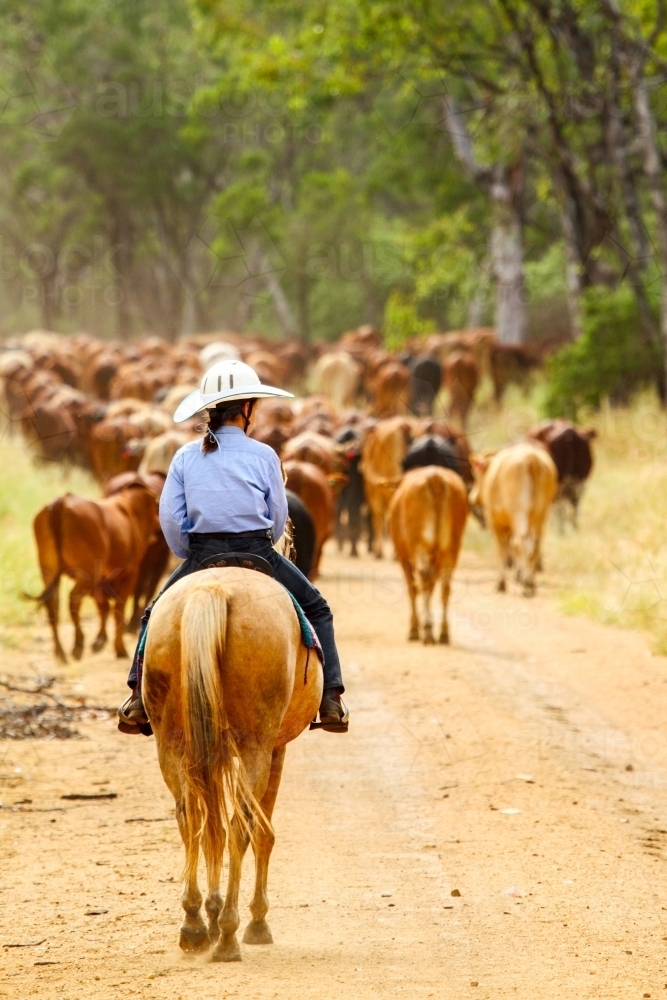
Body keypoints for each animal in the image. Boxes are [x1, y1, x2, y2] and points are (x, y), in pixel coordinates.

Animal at [30, 484, 160, 664]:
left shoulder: (102, 579)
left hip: (49, 572)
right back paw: (78, 645)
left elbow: (103, 606)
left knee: (53, 604)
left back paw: (60, 652)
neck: (132, 510)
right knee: (73, 600)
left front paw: (100, 641)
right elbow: (117, 608)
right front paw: (119, 648)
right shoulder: (129, 572)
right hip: (87, 574)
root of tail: (61, 503)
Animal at [142, 568, 322, 956]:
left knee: (191, 818)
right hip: (255, 746)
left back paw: (195, 925)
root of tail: (213, 590)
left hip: (173, 741)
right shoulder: (275, 749)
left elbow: (213, 829)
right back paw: (229, 933)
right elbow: (262, 833)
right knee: (242, 826)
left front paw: (210, 911)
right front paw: (256, 921)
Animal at [388, 466, 468, 644]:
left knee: (423, 580)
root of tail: (435, 477)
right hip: (452, 549)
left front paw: (414, 628)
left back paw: (427, 629)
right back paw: (443, 633)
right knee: (445, 586)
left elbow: (412, 588)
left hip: (421, 547)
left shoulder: (403, 556)